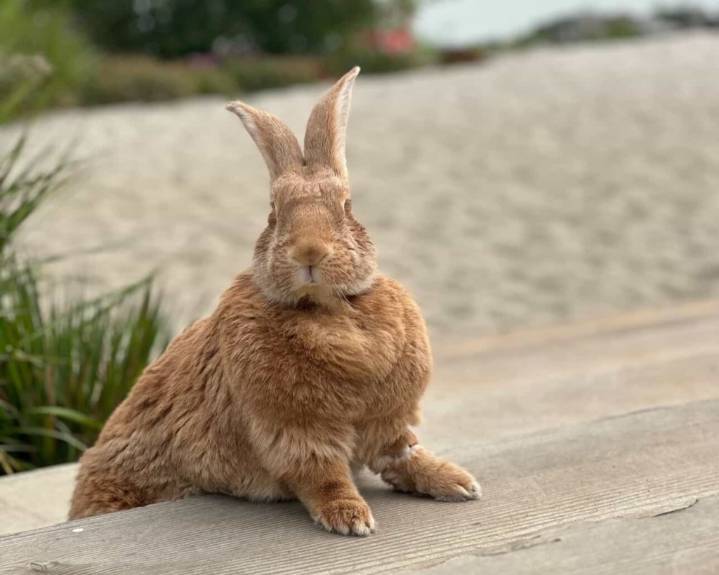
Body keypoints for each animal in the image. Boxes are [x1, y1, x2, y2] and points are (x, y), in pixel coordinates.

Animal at [69, 67, 480, 536]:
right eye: (274, 213)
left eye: (347, 206)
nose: (309, 252)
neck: (330, 309)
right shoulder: (295, 430)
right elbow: (324, 477)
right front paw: (351, 519)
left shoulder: (387, 419)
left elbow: (403, 456)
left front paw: (458, 483)